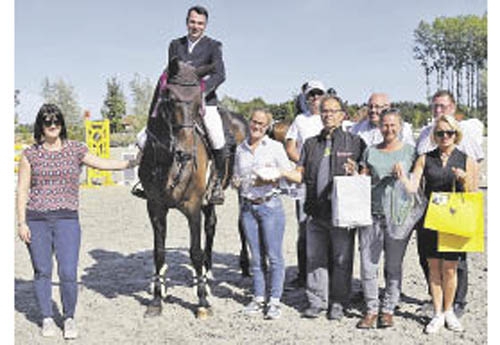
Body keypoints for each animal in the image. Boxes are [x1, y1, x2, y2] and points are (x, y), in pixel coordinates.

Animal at [137, 58, 248, 318]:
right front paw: (157, 299)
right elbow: (159, 252)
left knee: (241, 225)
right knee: (212, 226)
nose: (185, 152)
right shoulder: (155, 207)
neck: (167, 161)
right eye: (170, 99)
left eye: (199, 102)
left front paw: (203, 301)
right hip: (208, 200)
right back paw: (207, 273)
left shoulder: (192, 207)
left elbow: (194, 252)